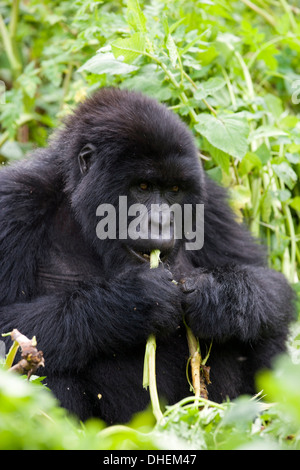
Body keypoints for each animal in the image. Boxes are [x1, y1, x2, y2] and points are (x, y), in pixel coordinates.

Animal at [0, 87, 296, 422]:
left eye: (175, 191)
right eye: (143, 186)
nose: (162, 222)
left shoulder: (210, 203)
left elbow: (267, 281)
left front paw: (219, 297)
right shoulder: (15, 201)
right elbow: (8, 329)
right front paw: (133, 302)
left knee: (265, 322)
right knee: (38, 357)